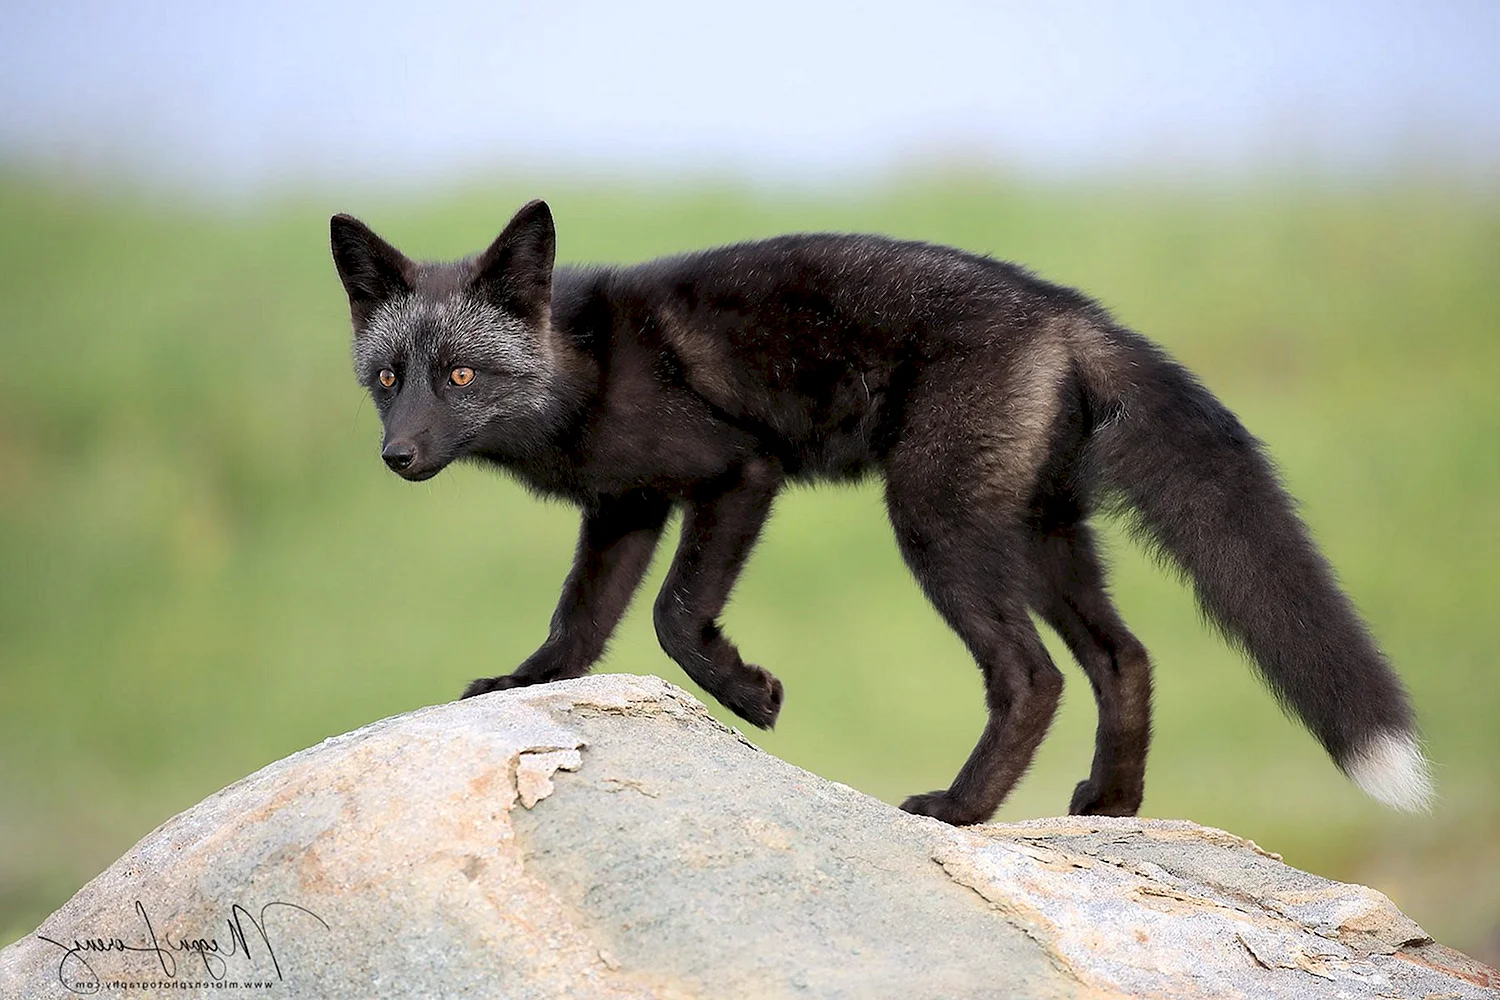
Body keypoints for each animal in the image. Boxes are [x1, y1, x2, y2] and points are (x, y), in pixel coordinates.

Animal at [328, 199, 1428, 827]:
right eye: (386, 378)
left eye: (461, 375)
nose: (397, 456)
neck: (587, 371)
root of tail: (1066, 309)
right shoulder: (625, 507)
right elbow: (579, 622)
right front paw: (522, 683)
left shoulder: (736, 473)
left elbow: (674, 617)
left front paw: (750, 693)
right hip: (1040, 537)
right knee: (1125, 659)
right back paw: (1111, 804)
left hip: (936, 525)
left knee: (1032, 678)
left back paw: (961, 809)